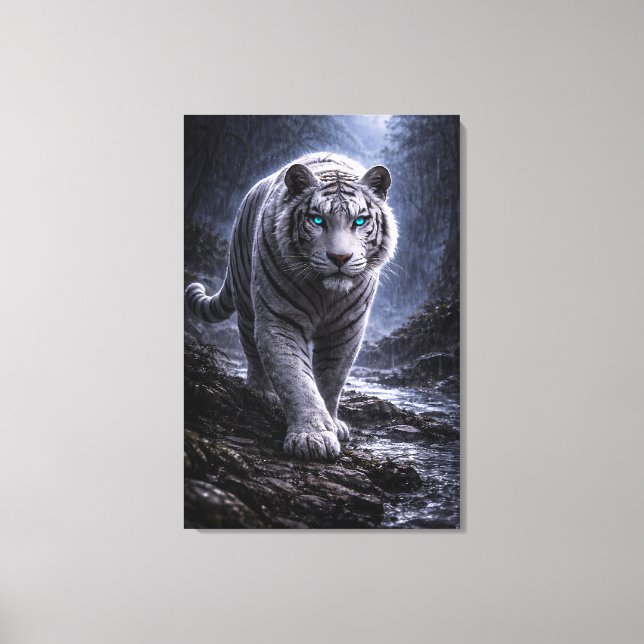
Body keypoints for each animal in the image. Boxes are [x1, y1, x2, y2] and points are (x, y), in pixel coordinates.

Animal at [186, 152, 398, 461]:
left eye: (359, 221)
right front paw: (312, 438)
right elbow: (296, 380)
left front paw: (332, 424)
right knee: (252, 350)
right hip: (246, 303)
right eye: (317, 220)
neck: (326, 292)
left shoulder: (346, 330)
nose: (340, 257)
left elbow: (332, 379)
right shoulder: (279, 320)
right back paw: (261, 393)